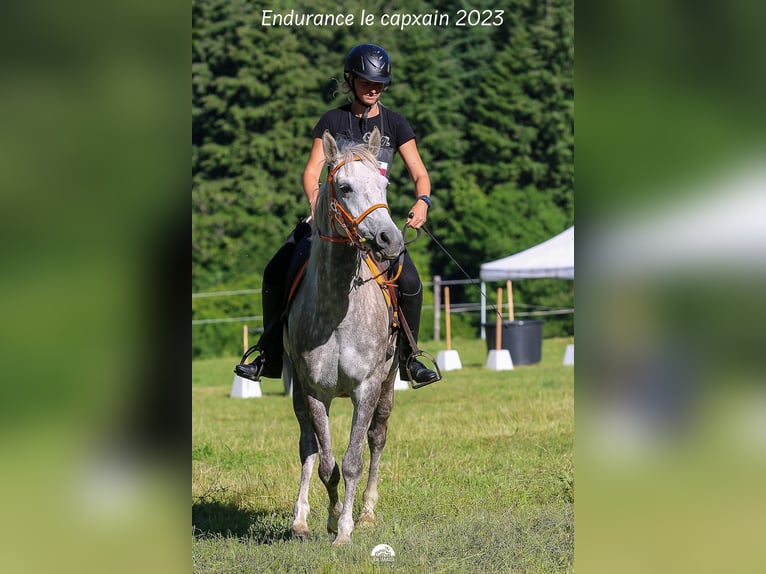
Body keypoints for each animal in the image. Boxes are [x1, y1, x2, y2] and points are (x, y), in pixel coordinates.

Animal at [284, 128, 408, 548]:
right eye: (345, 186)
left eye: (384, 185)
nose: (390, 240)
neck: (338, 309)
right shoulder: (314, 393)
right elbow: (326, 464)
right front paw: (330, 518)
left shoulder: (366, 389)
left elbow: (353, 461)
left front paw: (345, 530)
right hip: (298, 397)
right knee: (307, 446)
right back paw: (301, 520)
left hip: (387, 388)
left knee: (377, 438)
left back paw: (367, 511)